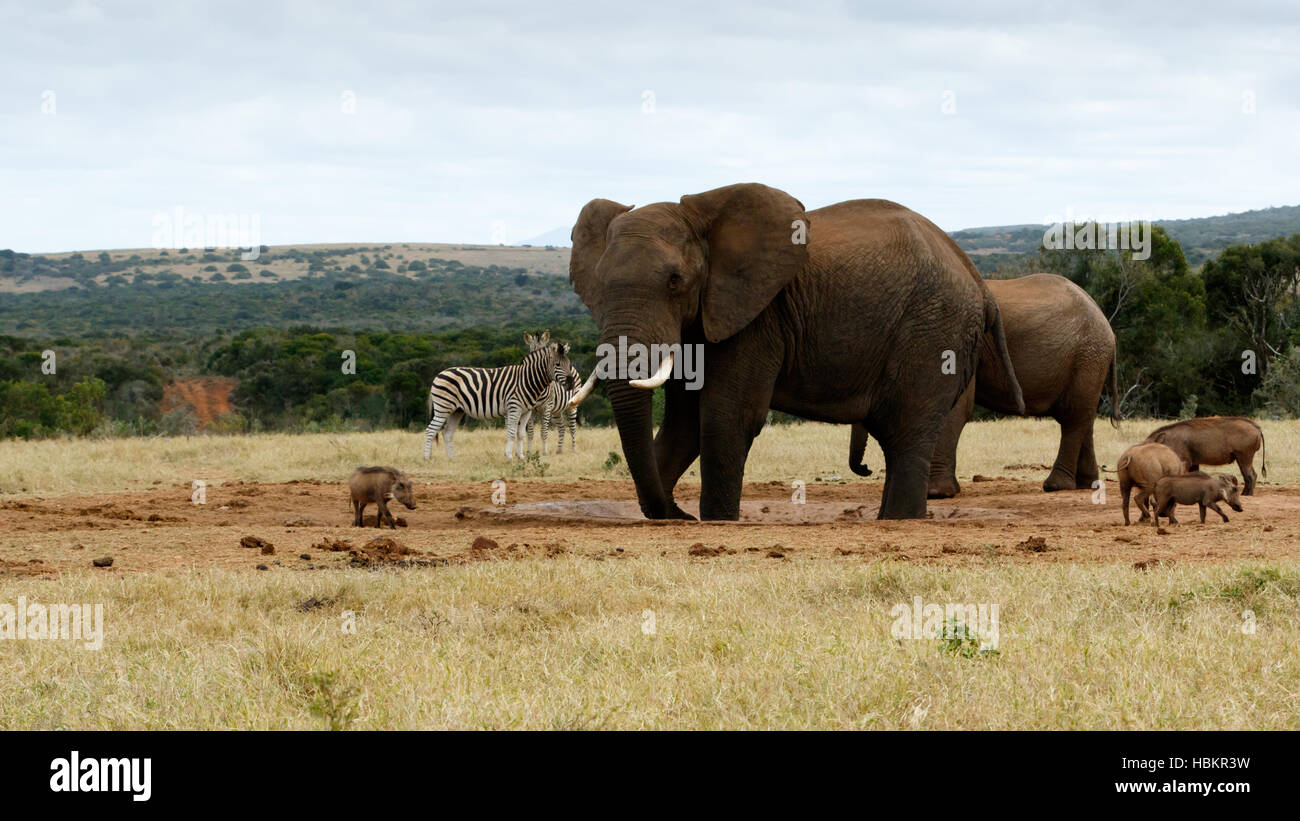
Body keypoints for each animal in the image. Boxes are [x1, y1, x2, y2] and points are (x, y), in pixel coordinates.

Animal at [567, 182, 1024, 520]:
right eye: (597, 285)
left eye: (675, 281)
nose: (678, 513)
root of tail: (978, 280)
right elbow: (683, 423)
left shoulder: (760, 315)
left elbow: (725, 416)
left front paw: (717, 520)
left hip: (935, 328)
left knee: (906, 432)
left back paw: (898, 521)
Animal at [859, 273, 1117, 496]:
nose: (866, 470)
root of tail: (1108, 327)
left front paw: (936, 494)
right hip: (1089, 360)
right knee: (1084, 417)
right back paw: (1087, 485)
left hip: (1088, 356)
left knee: (1072, 417)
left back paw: (1055, 486)